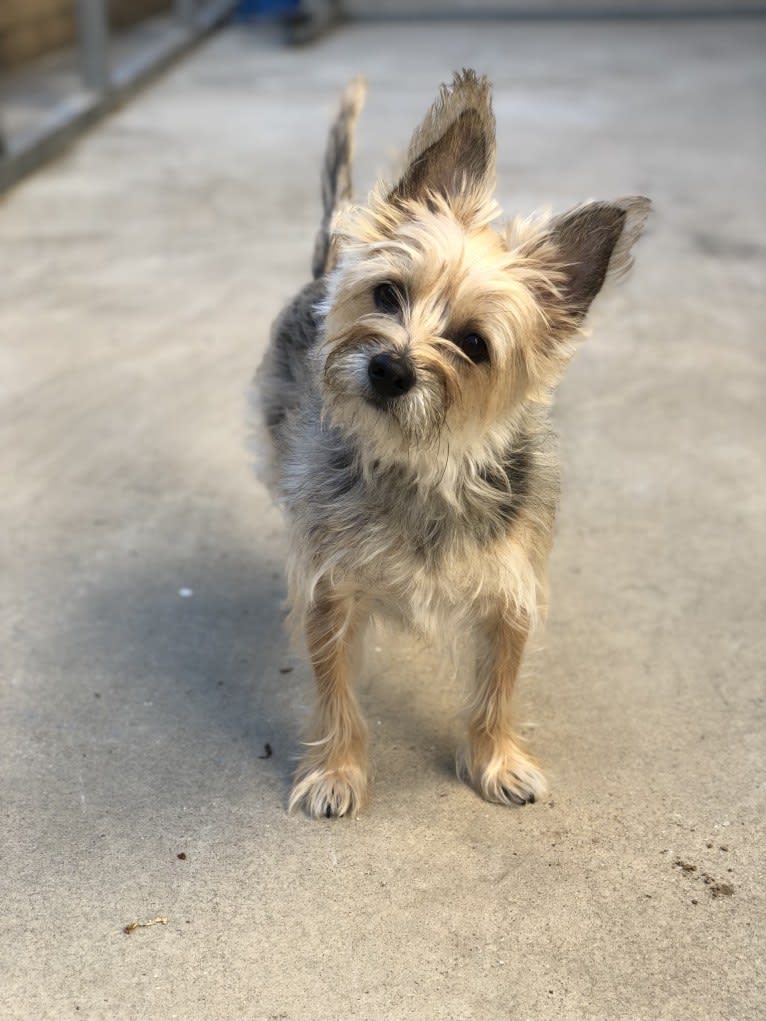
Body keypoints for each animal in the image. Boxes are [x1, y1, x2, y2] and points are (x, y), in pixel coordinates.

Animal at [255, 67, 649, 816]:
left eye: (473, 344)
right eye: (387, 295)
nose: (389, 368)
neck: (425, 464)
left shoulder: (509, 595)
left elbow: (497, 688)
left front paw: (496, 761)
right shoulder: (330, 588)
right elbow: (335, 689)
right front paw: (337, 770)